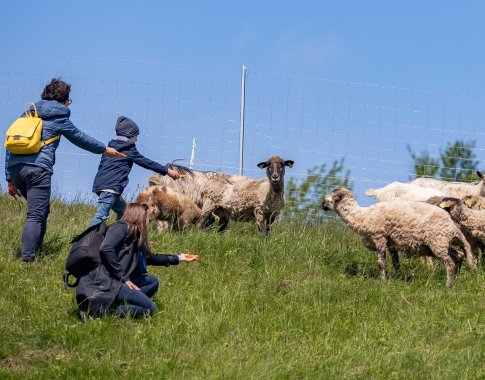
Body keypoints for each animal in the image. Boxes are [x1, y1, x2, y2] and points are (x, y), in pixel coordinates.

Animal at [322, 187, 468, 288]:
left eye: (331, 199)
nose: (322, 206)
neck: (362, 215)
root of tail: (451, 224)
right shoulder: (392, 244)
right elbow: (396, 263)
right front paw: (398, 278)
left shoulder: (379, 238)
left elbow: (381, 263)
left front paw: (383, 281)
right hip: (442, 244)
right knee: (459, 256)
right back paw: (456, 279)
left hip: (438, 242)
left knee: (450, 264)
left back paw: (447, 286)